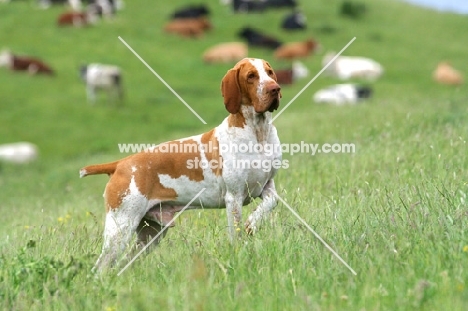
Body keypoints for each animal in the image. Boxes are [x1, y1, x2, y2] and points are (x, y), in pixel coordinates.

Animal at [79, 59, 282, 272]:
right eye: (251, 76)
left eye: (269, 72)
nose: (275, 89)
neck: (258, 133)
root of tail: (119, 164)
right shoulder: (234, 197)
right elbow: (236, 234)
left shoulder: (267, 187)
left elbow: (270, 203)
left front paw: (253, 223)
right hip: (121, 228)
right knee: (100, 269)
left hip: (150, 235)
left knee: (123, 264)